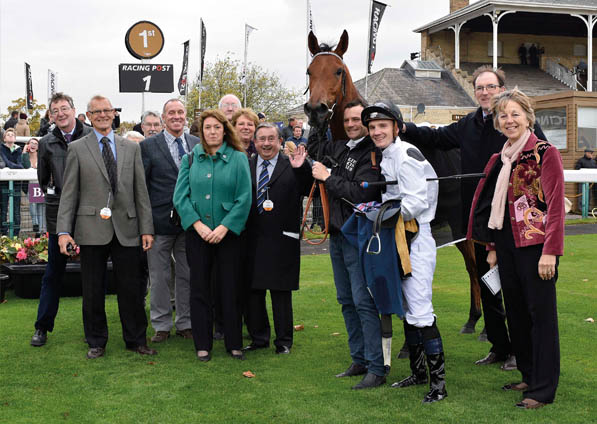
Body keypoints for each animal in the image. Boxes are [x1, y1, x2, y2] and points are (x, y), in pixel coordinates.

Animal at [304, 29, 482, 362]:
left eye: (337, 71)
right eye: (310, 71)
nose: (316, 110)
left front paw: (403, 345)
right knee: (474, 265)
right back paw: (473, 319)